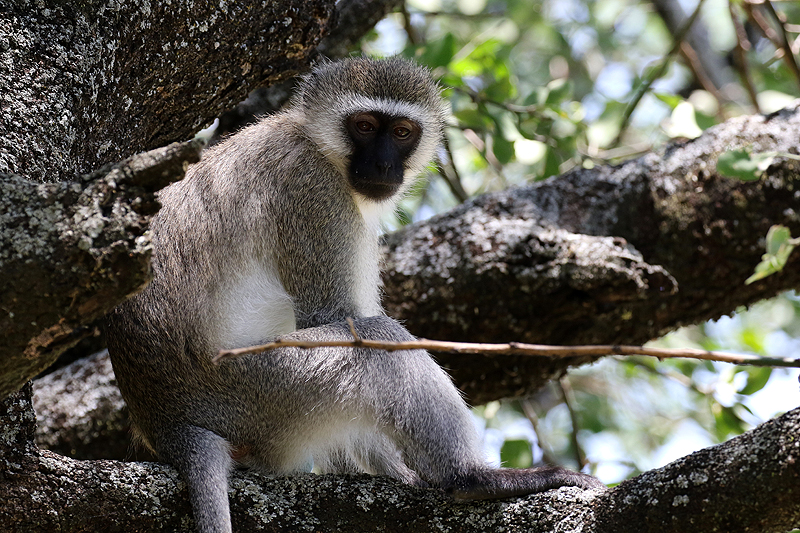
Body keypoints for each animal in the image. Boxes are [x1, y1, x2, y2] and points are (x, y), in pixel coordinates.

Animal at [104, 58, 600, 532]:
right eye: (363, 125)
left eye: (401, 132)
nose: (381, 166)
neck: (314, 141)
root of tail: (168, 424)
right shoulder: (311, 188)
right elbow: (335, 317)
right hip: (258, 390)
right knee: (376, 339)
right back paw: (472, 479)